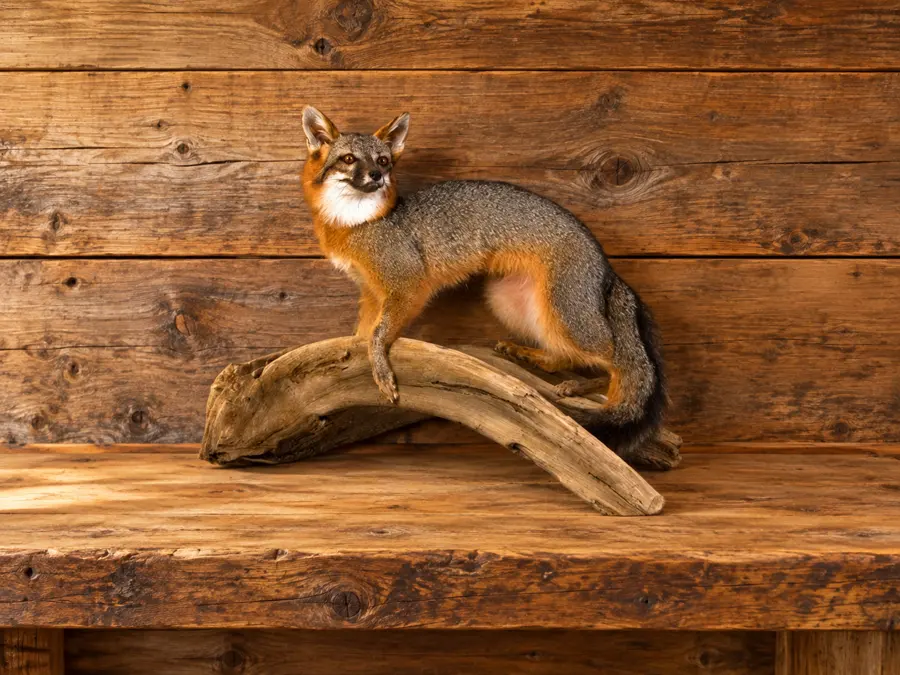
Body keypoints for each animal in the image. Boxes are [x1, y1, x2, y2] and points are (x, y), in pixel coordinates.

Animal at [300, 106, 666, 458]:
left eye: (383, 160)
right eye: (349, 159)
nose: (377, 175)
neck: (357, 224)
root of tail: (606, 263)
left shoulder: (407, 285)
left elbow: (378, 334)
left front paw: (380, 367)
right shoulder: (371, 292)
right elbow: (362, 332)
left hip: (566, 316)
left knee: (616, 358)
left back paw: (584, 386)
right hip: (511, 302)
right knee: (567, 356)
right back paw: (533, 356)